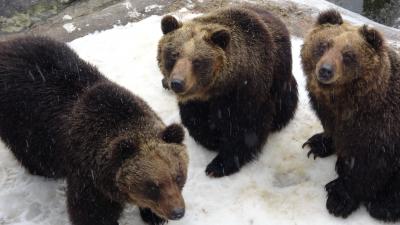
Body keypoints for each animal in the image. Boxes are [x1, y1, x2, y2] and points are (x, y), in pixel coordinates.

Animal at [0, 36, 189, 225]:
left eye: (178, 176)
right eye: (152, 186)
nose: (177, 212)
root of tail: (7, 44)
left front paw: (153, 216)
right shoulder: (87, 174)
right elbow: (91, 211)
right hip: (21, 120)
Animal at [156, 5, 296, 178]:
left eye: (197, 61)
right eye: (174, 54)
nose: (177, 83)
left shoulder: (248, 92)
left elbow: (245, 129)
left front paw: (218, 165)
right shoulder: (197, 100)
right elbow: (195, 119)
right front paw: (212, 139)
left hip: (281, 78)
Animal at [302, 10, 400, 221]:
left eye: (348, 55)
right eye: (324, 44)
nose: (325, 70)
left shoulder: (381, 127)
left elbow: (368, 168)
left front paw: (339, 199)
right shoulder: (330, 112)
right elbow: (333, 132)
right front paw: (316, 144)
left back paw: (384, 204)